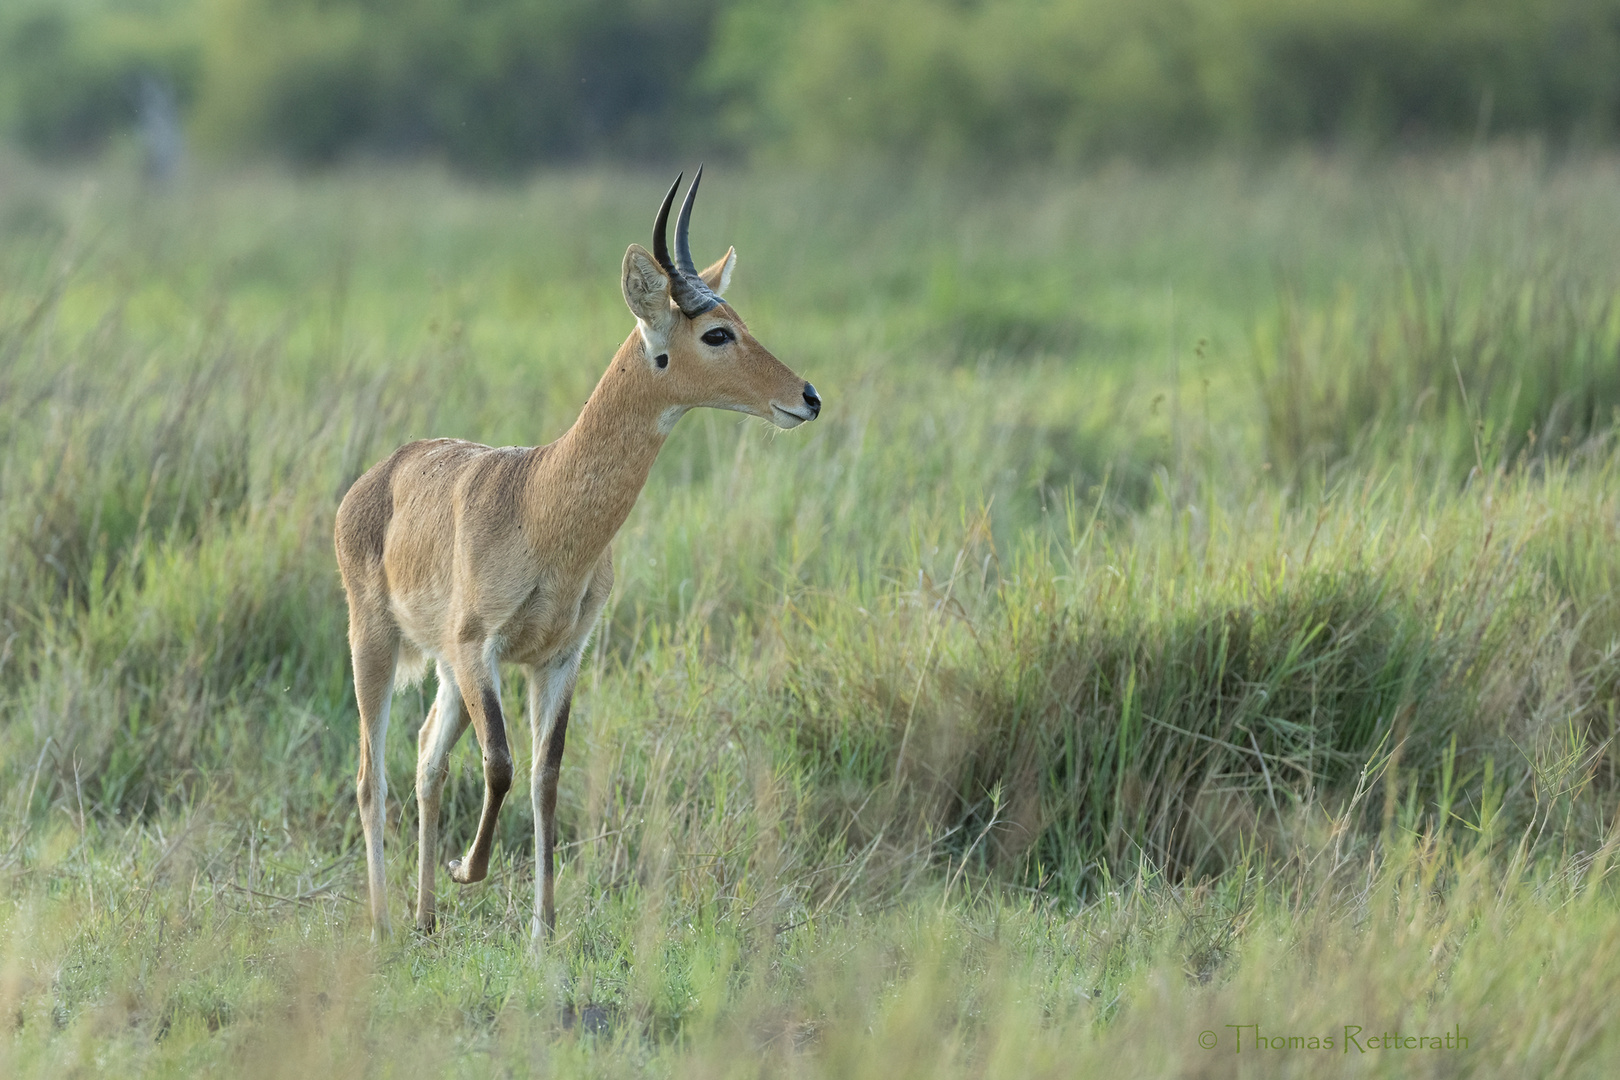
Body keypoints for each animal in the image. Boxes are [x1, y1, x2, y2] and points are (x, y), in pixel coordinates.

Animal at [332, 170, 822, 939]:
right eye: (716, 332)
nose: (807, 397)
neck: (541, 504)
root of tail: (379, 475)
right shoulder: (482, 648)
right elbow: (501, 763)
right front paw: (469, 871)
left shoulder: (560, 656)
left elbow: (545, 776)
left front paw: (543, 930)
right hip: (375, 644)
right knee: (369, 775)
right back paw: (384, 923)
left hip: (442, 668)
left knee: (424, 757)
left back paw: (425, 919)